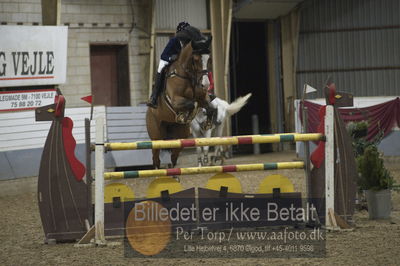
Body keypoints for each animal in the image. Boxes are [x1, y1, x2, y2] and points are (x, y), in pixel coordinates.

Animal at [146, 39, 212, 168]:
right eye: (196, 59)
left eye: (208, 58)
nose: (206, 84)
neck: (187, 75)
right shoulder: (176, 100)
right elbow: (193, 103)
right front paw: (184, 116)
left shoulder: (202, 98)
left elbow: (207, 106)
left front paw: (206, 123)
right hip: (156, 137)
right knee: (156, 159)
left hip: (180, 136)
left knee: (173, 156)